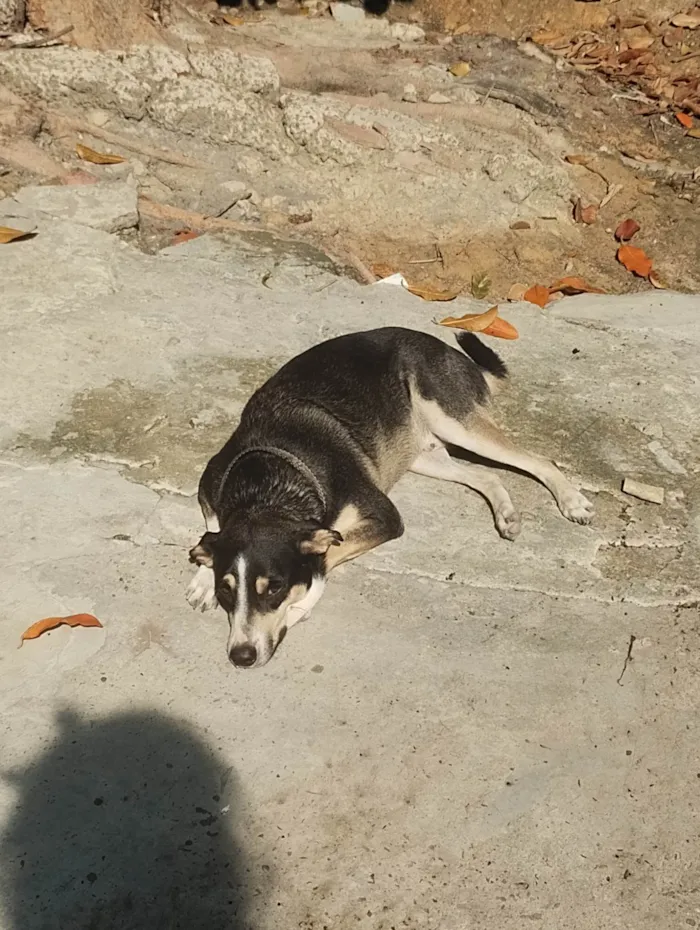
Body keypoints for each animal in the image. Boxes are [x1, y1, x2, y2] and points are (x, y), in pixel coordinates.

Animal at [185, 326, 592, 668]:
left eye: (275, 588)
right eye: (227, 592)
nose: (241, 656)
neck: (269, 485)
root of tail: (454, 355)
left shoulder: (383, 516)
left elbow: (325, 556)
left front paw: (304, 602)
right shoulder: (210, 483)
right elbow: (212, 529)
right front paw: (204, 575)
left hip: (455, 420)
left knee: (539, 460)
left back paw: (572, 501)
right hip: (424, 455)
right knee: (487, 475)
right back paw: (506, 514)